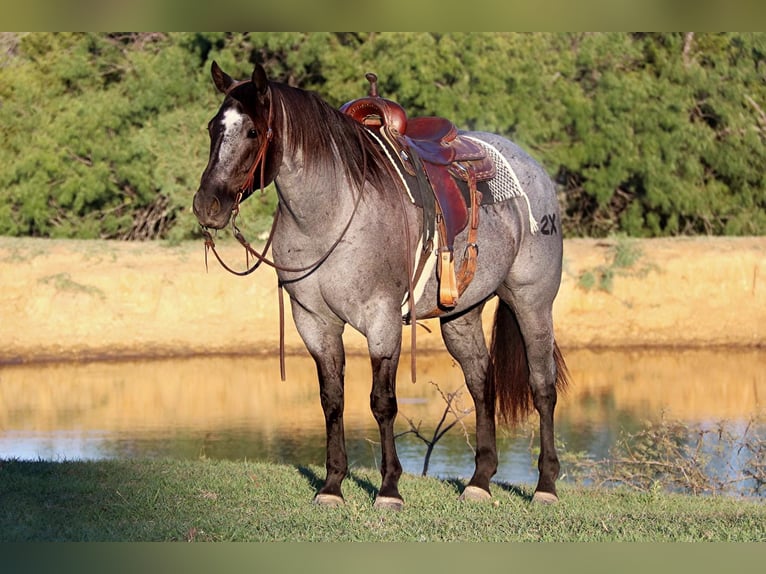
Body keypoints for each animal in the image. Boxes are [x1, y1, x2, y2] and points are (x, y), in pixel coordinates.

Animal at [194, 62, 568, 512]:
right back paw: (479, 481)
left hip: (533, 303)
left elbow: (383, 402)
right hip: (461, 316)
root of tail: (534, 168)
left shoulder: (382, 320)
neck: (330, 214)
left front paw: (389, 489)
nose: (207, 205)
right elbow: (332, 400)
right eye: (213, 127)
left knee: (542, 387)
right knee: (482, 382)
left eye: (252, 131)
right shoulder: (315, 323)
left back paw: (546, 485)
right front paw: (332, 485)